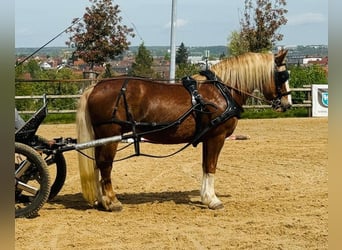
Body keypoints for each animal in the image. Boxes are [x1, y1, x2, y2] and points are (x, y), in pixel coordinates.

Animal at [76, 48, 290, 211]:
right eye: (282, 76)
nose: (287, 104)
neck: (222, 90)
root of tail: (96, 87)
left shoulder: (208, 137)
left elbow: (205, 166)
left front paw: (205, 197)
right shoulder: (217, 136)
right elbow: (211, 166)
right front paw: (213, 200)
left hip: (102, 137)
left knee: (97, 165)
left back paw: (101, 200)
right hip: (111, 135)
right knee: (105, 165)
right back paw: (112, 202)